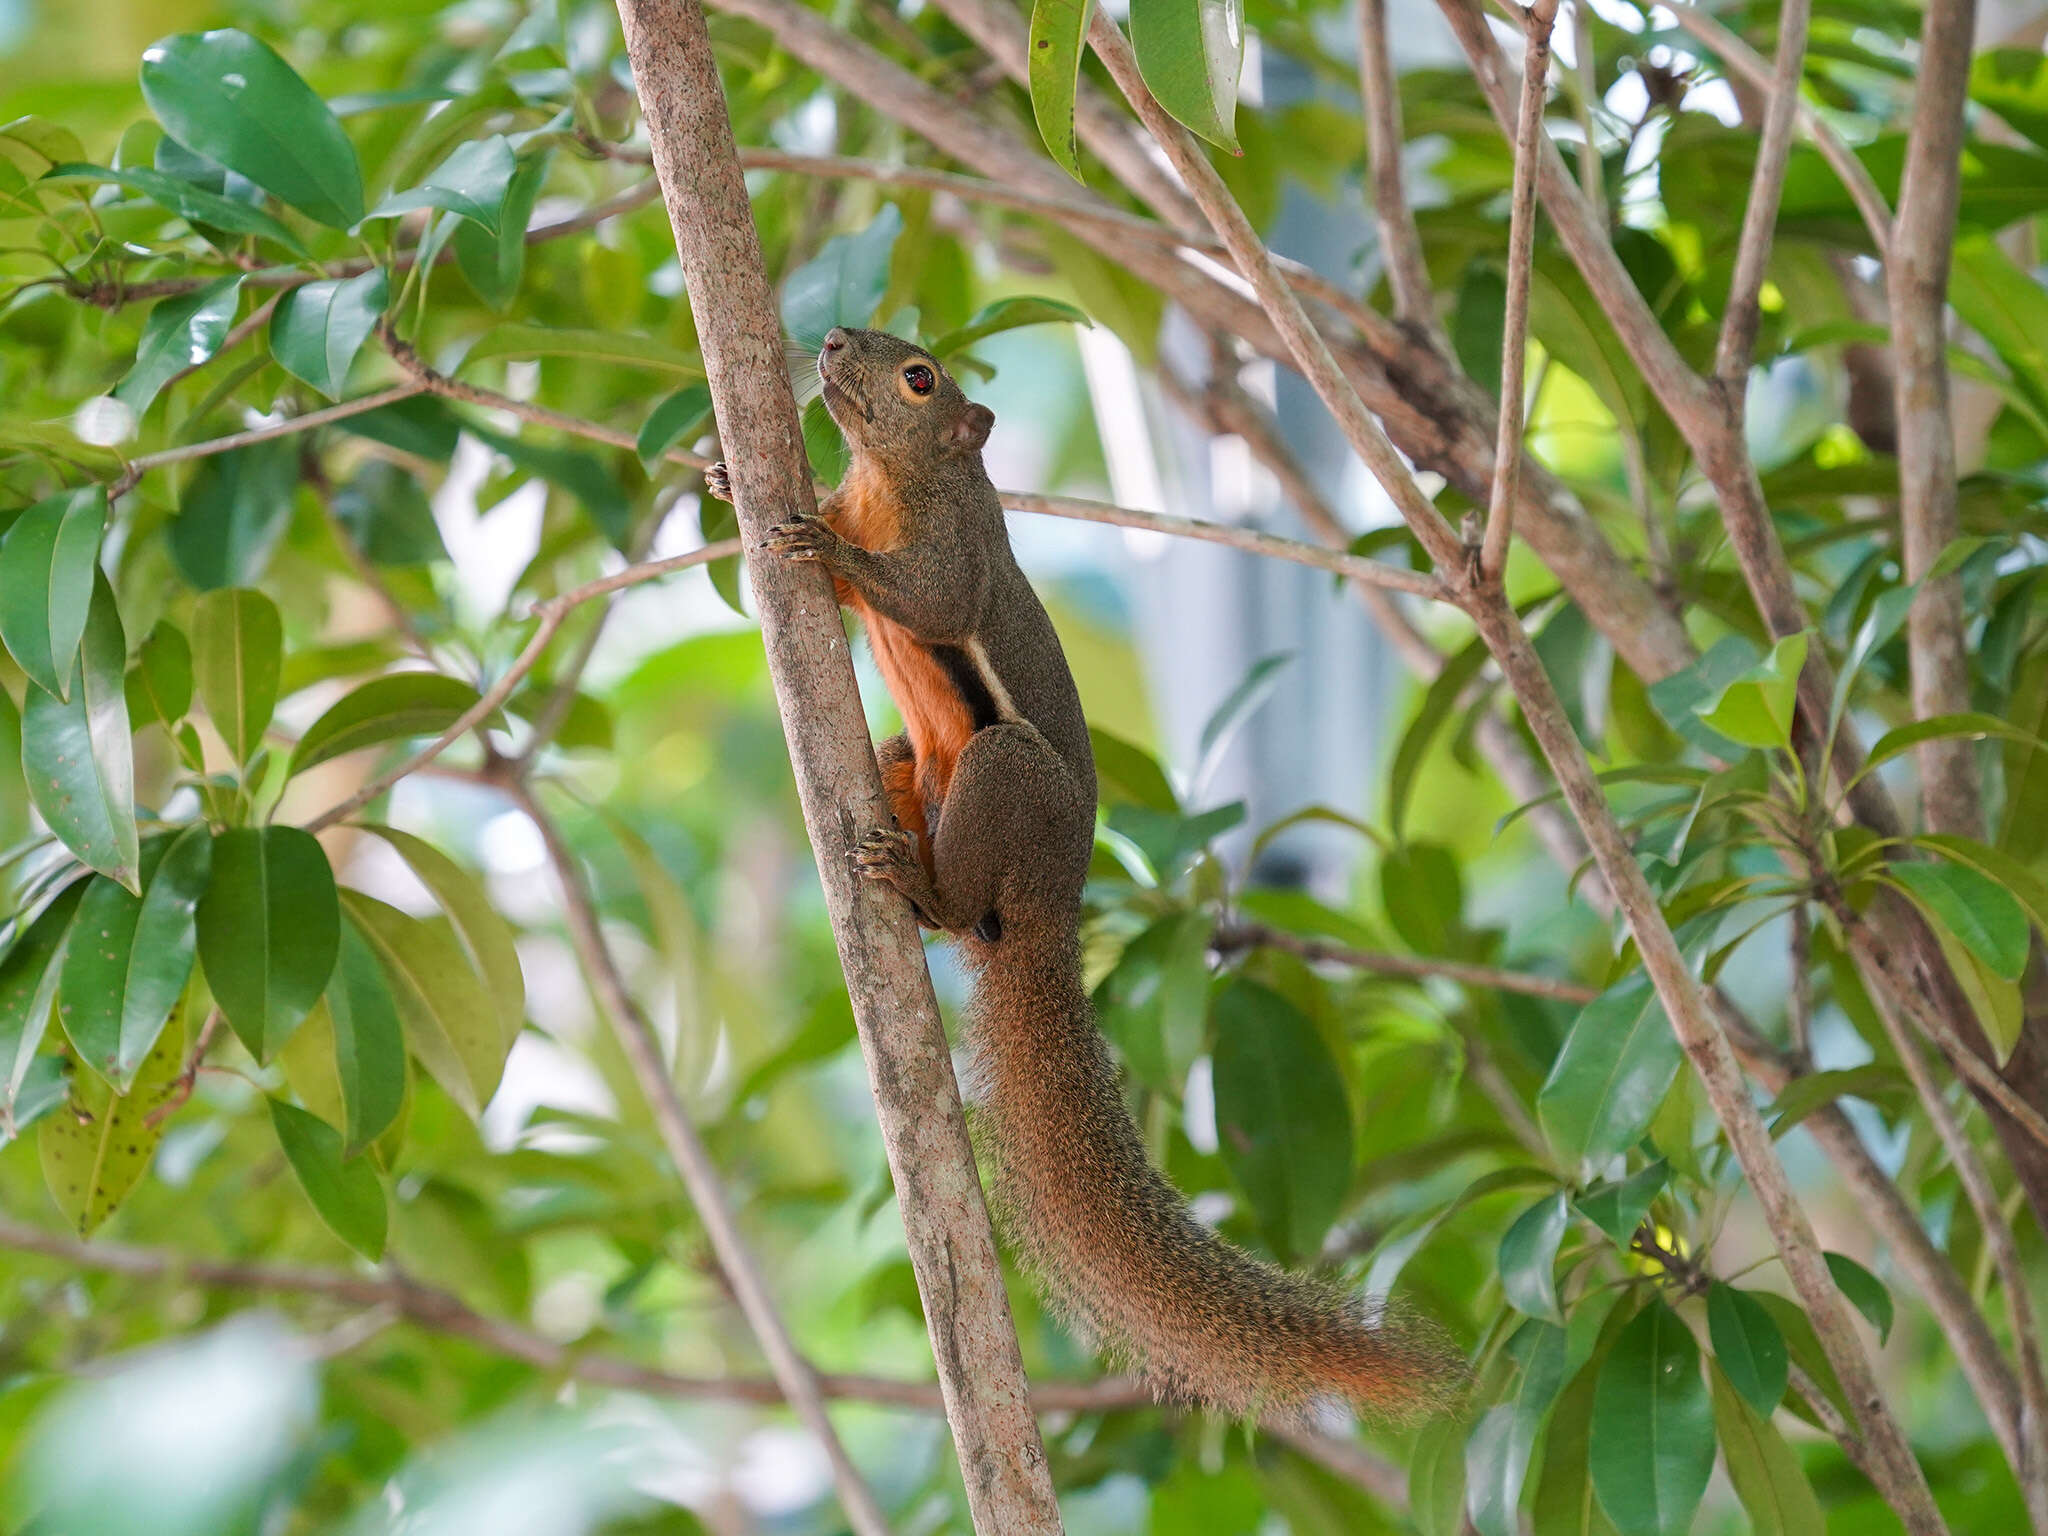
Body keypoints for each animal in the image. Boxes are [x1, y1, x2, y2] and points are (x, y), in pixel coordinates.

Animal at [712, 327, 1466, 1433]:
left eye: (920, 379)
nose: (836, 339)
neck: (893, 480)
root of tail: (1054, 907)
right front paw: (726, 479)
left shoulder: (959, 556)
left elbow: (925, 597)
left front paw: (831, 553)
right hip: (914, 768)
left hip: (1004, 777)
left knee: (961, 898)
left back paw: (919, 884)